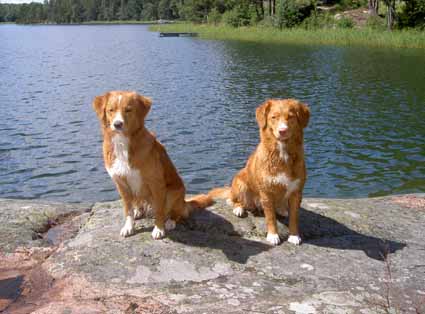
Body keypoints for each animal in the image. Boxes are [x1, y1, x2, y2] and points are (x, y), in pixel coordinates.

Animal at [93, 90, 212, 238]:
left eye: (128, 110)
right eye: (111, 110)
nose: (117, 124)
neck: (123, 143)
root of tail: (185, 202)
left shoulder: (156, 183)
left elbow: (159, 210)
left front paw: (159, 229)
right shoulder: (121, 183)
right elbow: (127, 209)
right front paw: (128, 227)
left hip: (173, 192)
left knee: (176, 213)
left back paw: (170, 222)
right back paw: (138, 211)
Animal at [210, 99, 310, 247]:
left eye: (291, 117)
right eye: (273, 117)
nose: (283, 131)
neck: (282, 153)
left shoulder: (296, 191)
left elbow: (294, 217)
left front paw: (294, 235)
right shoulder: (266, 192)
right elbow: (270, 217)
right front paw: (273, 235)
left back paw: (282, 209)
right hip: (240, 183)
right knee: (234, 200)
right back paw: (239, 209)